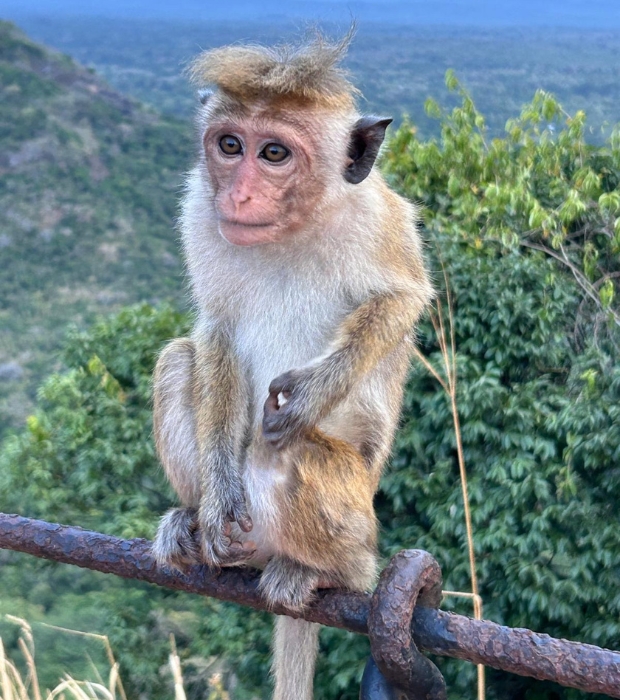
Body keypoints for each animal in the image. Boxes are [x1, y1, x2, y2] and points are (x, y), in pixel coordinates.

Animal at [151, 34, 433, 700]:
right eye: (230, 145)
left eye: (274, 153)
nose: (237, 194)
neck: (294, 228)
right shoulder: (198, 212)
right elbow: (217, 332)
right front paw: (219, 493)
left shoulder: (379, 219)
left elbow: (401, 299)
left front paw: (309, 394)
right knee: (178, 362)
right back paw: (192, 524)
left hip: (352, 502)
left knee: (291, 451)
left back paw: (332, 573)